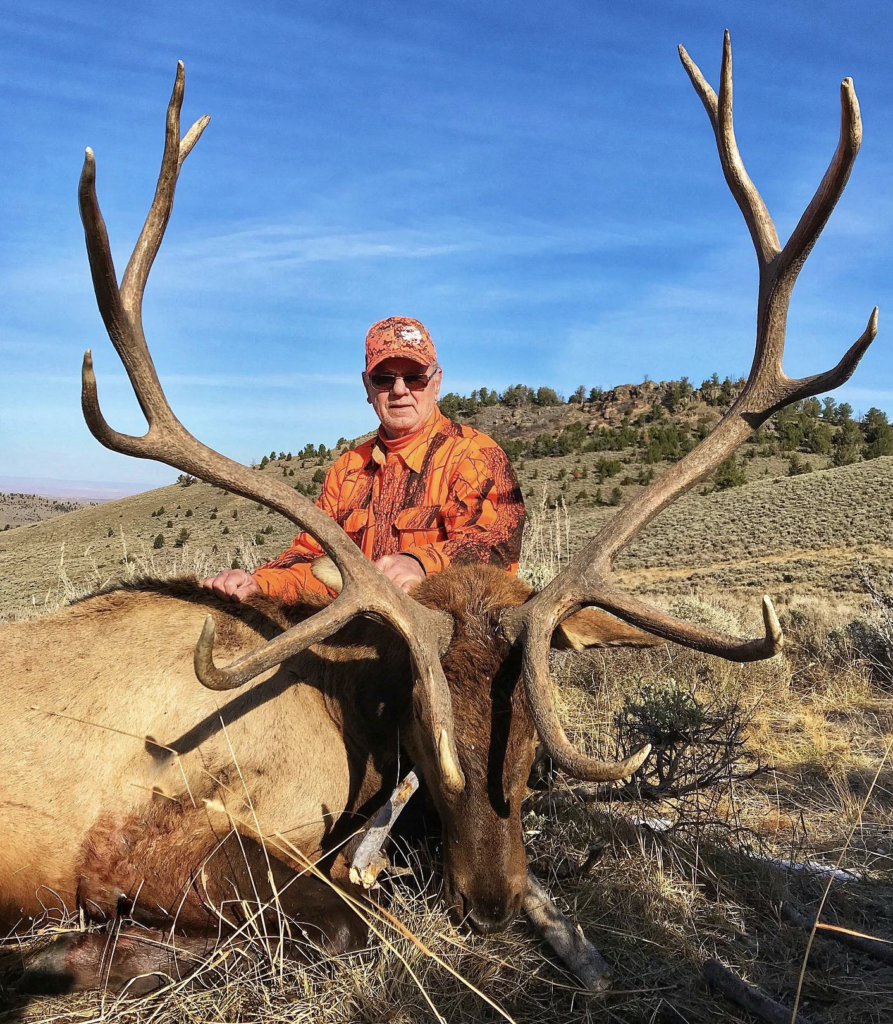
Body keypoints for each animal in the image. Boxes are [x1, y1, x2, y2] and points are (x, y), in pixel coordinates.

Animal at [0, 33, 876, 995]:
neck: (341, 707)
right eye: (427, 739)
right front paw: (76, 954)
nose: (490, 903)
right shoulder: (133, 833)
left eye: (532, 749)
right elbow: (353, 924)